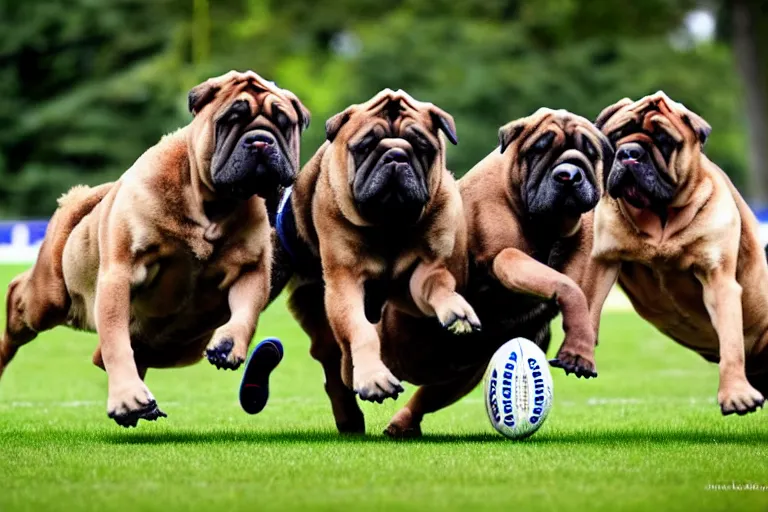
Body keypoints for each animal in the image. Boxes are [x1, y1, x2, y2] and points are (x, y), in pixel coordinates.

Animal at [2, 70, 312, 426]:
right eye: (231, 119)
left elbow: (245, 312)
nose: (261, 140)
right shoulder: (120, 273)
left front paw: (229, 344)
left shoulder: (250, 268)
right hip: (50, 298)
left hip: (177, 346)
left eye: (284, 123)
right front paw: (127, 399)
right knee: (19, 296)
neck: (210, 204)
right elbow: (116, 342)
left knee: (108, 355)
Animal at [274, 90, 480, 434]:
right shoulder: (345, 282)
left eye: (422, 146)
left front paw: (456, 310)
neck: (389, 224)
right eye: (365, 146)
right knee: (335, 365)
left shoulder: (428, 268)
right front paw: (373, 378)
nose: (396, 154)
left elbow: (439, 286)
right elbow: (361, 331)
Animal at [380, 108, 616, 436]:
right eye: (539, 149)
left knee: (428, 395)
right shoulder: (503, 255)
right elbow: (566, 285)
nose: (568, 173)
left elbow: (584, 291)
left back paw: (403, 423)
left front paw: (580, 349)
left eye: (590, 152)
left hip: (465, 372)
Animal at [588, 91, 760, 416]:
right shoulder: (604, 261)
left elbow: (732, 345)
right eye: (617, 135)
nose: (629, 152)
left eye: (663, 140)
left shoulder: (719, 280)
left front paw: (735, 394)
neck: (661, 217)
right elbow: (588, 307)